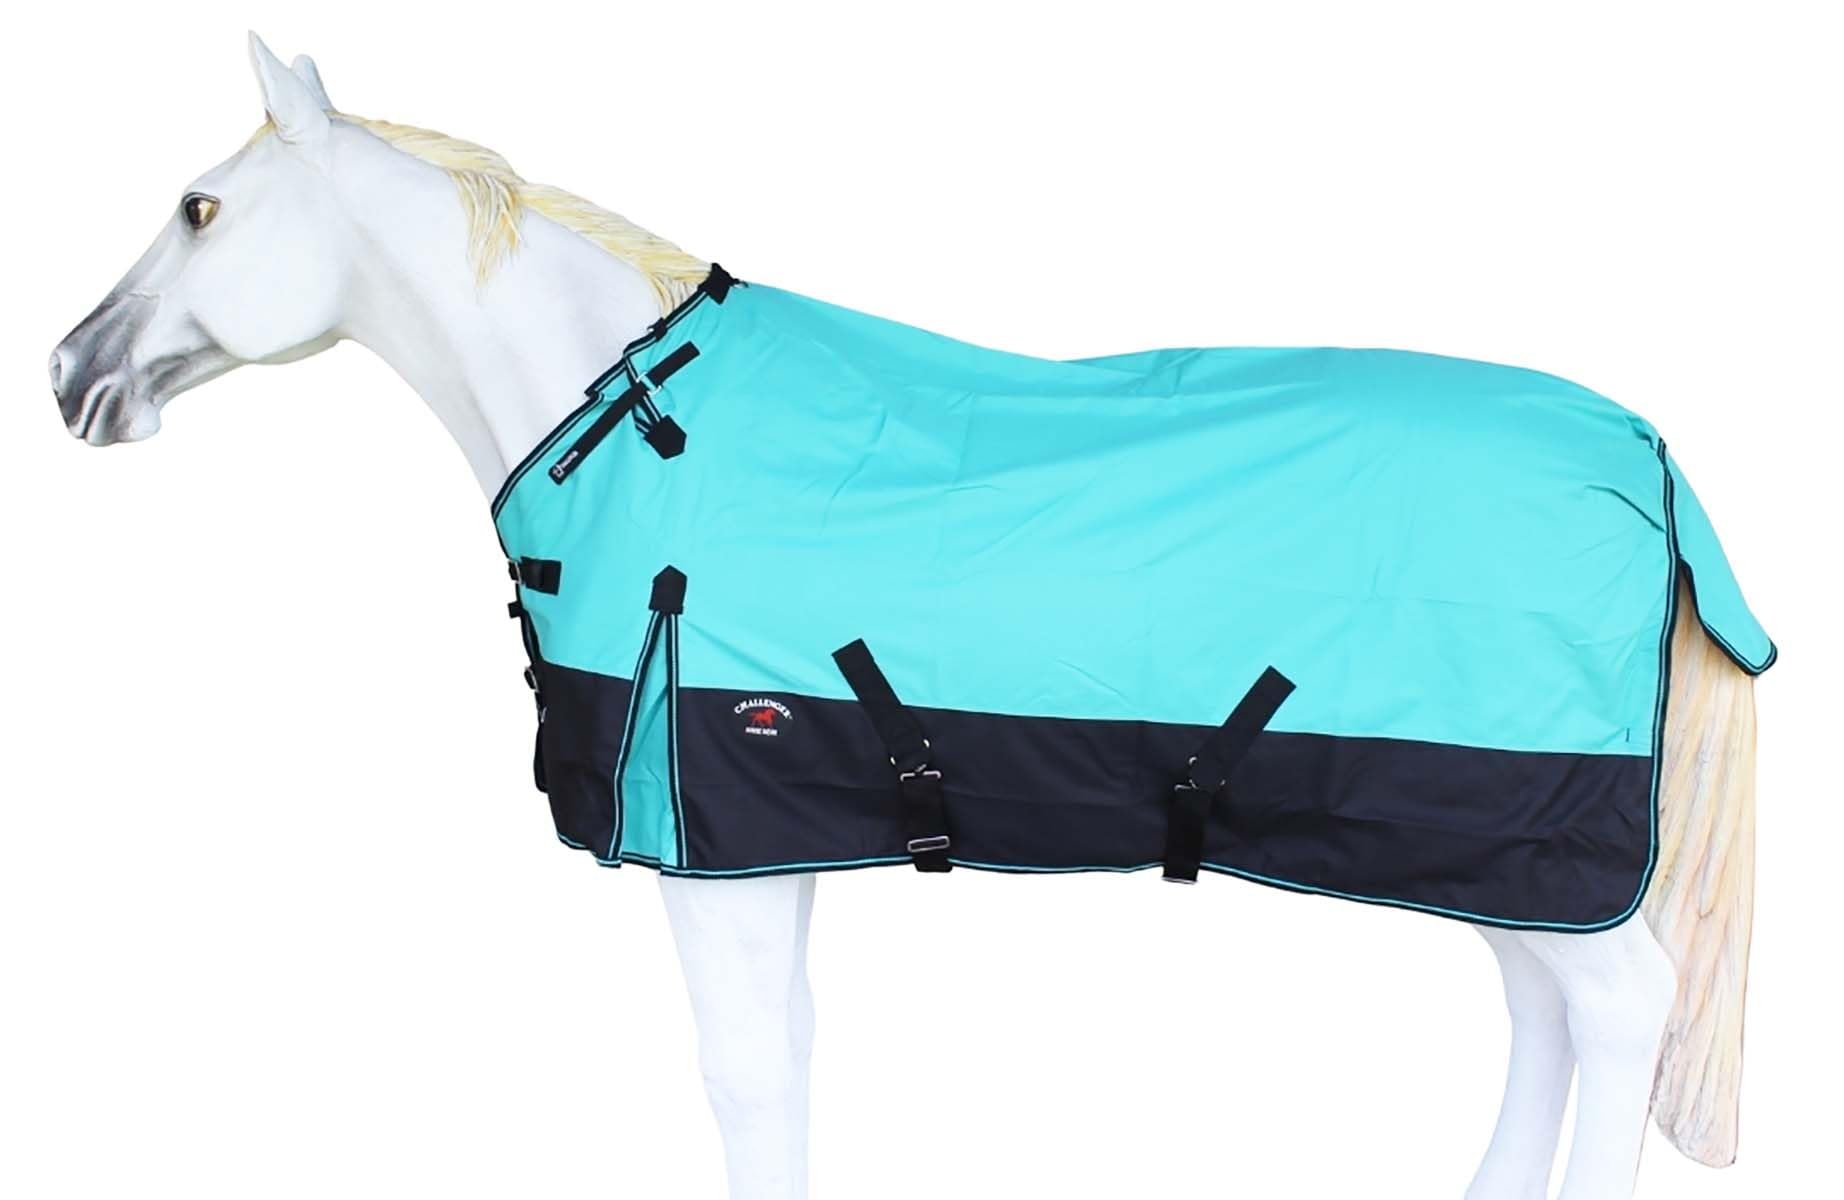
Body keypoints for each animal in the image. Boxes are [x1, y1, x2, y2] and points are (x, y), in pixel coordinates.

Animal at [48, 35, 1766, 1200]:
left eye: (199, 207)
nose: (72, 374)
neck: (645, 438)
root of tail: (1642, 452)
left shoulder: (707, 851)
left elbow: (748, 1078)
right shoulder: (771, 838)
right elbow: (791, 1061)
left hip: (1517, 834)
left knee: (1619, 1011)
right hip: (1488, 847)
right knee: (1546, 1013)